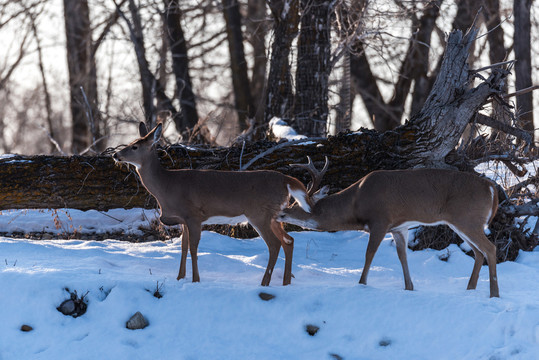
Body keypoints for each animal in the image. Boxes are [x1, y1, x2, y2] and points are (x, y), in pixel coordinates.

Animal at [114, 122, 312, 286]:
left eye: (134, 146)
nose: (116, 155)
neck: (167, 186)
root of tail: (286, 180)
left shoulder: (193, 215)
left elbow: (193, 247)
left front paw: (195, 280)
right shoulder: (184, 219)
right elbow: (183, 247)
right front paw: (179, 277)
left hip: (259, 214)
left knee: (274, 244)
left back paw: (264, 283)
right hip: (274, 215)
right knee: (289, 240)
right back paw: (286, 282)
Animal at [278, 158, 502, 298]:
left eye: (296, 203)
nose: (280, 213)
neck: (356, 203)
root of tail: (492, 189)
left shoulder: (380, 220)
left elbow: (369, 253)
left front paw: (361, 283)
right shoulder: (399, 228)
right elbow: (402, 256)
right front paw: (409, 287)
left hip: (467, 218)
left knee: (490, 249)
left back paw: (494, 293)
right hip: (462, 222)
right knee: (478, 252)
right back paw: (470, 289)